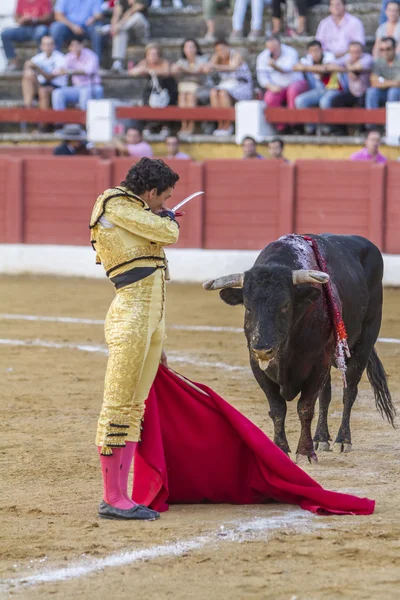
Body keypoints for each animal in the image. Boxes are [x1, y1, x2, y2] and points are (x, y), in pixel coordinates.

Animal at [205, 232, 396, 462]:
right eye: (248, 307)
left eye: (285, 305)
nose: (263, 349)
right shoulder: (256, 364)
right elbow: (278, 408)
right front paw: (280, 448)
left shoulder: (317, 363)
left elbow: (305, 407)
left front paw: (305, 452)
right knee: (326, 395)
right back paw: (321, 438)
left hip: (364, 340)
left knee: (349, 390)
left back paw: (343, 440)